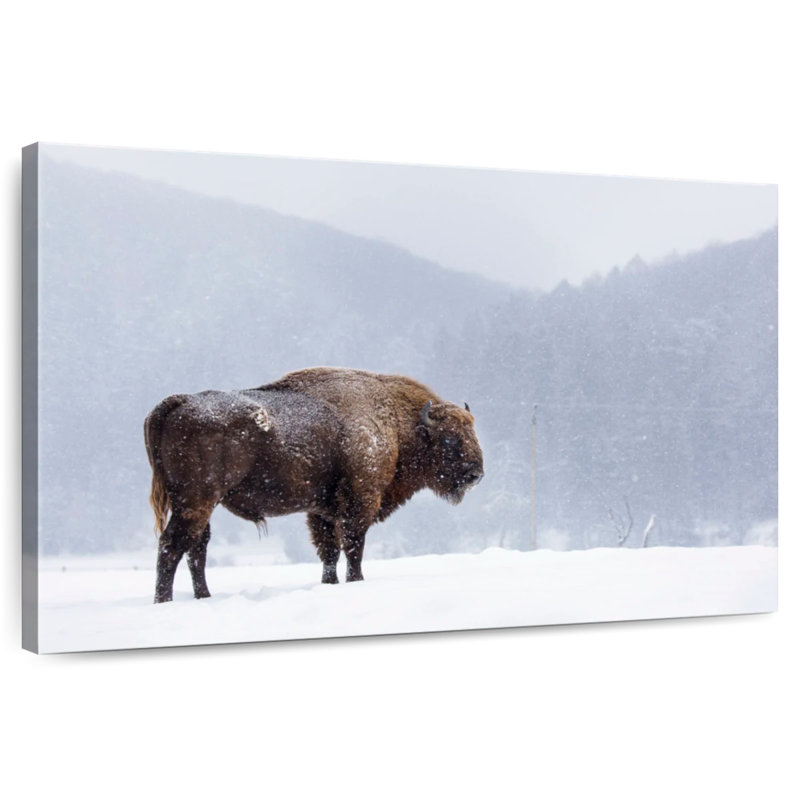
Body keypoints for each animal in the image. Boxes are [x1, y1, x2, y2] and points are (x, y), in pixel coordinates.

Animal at [144, 367, 484, 602]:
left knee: (196, 548)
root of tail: (179, 402)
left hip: (198, 505)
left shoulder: (322, 511)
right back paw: (165, 601)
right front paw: (356, 581)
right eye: (449, 439)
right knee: (173, 546)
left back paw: (203, 597)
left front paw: (330, 583)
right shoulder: (360, 502)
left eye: (472, 432)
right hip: (196, 501)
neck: (397, 423)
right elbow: (353, 547)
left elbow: (329, 551)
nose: (475, 474)